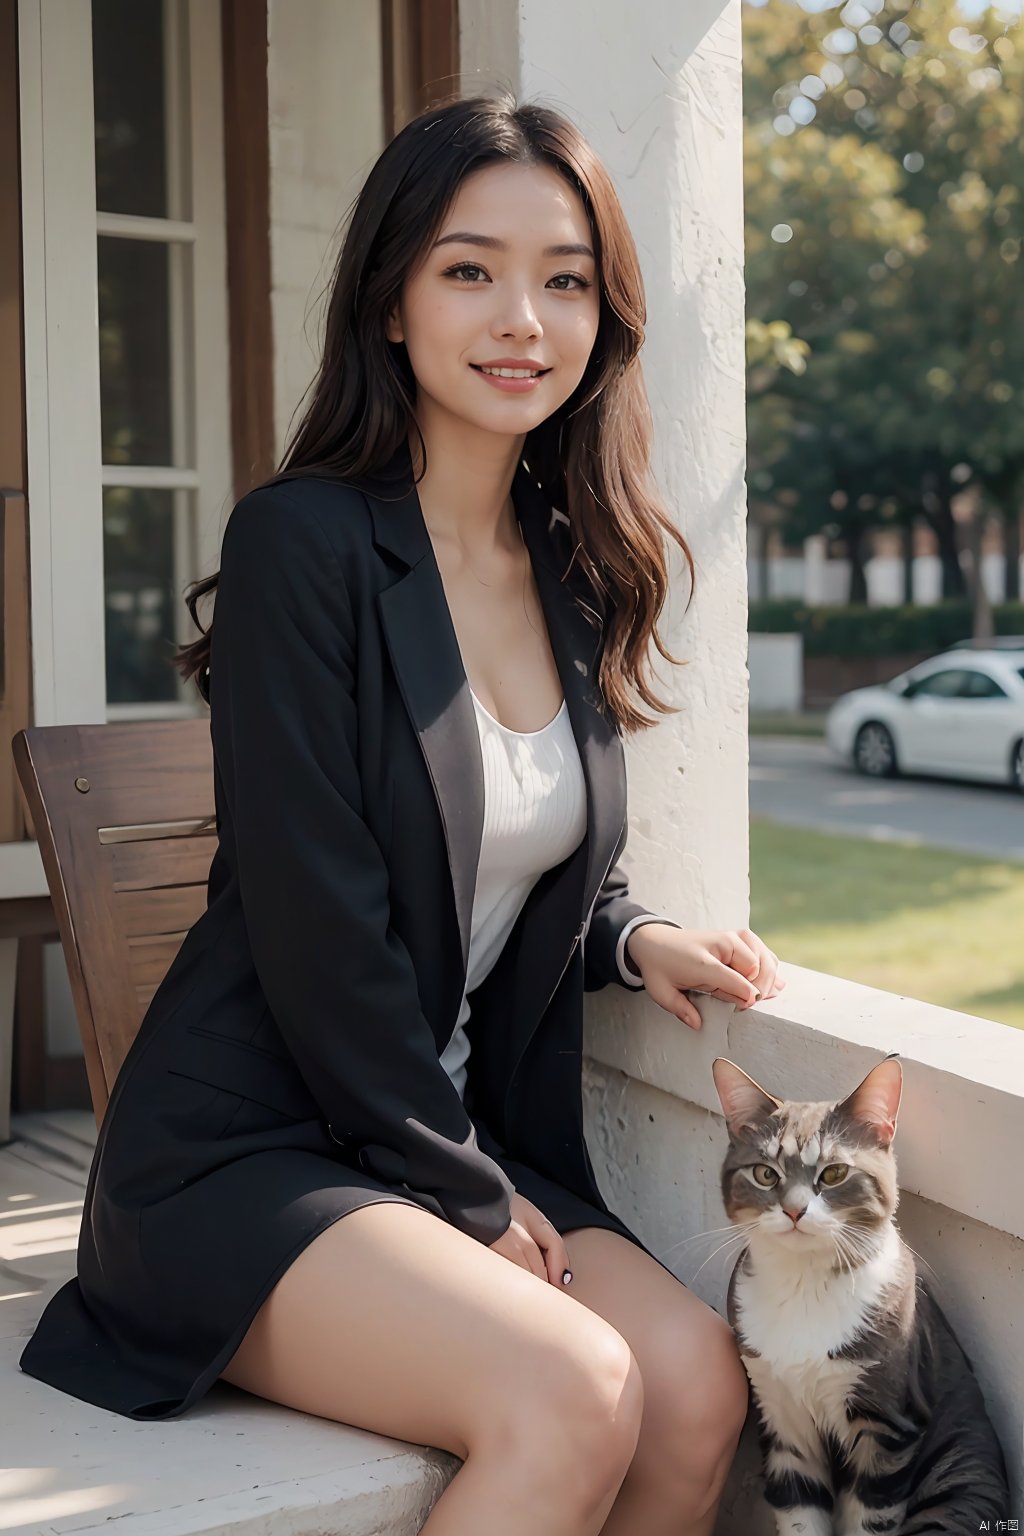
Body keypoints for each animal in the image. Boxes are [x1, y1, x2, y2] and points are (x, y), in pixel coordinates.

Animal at [712, 1056, 1007, 1536]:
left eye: (833, 1173)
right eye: (765, 1173)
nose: (794, 1210)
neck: (805, 1286)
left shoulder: (886, 1428)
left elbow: (871, 1517)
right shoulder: (782, 1420)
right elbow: (800, 1511)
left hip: (959, 1475)